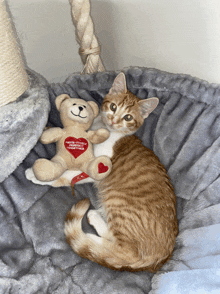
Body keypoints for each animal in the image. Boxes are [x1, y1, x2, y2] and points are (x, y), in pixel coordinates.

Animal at [64, 72, 178, 272]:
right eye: (113, 107)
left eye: (128, 117)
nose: (113, 120)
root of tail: (162, 255)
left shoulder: (97, 166)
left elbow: (71, 173)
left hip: (118, 205)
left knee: (123, 252)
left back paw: (93, 229)